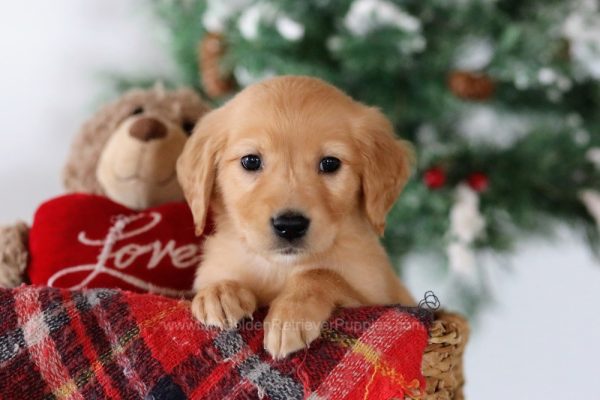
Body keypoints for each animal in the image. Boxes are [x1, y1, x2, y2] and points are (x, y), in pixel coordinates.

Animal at [176, 76, 414, 360]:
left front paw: (291, 315)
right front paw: (220, 292)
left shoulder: (378, 297)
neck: (279, 267)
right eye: (250, 161)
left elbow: (320, 273)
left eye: (330, 163)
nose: (289, 226)